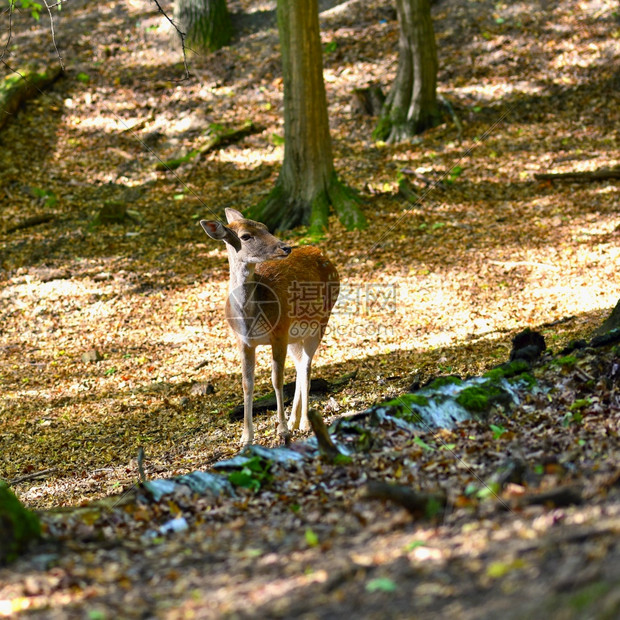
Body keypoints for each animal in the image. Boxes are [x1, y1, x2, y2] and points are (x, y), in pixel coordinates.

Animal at [200, 208, 340, 446]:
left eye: (266, 227)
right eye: (246, 236)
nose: (286, 247)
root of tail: (322, 253)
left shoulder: (279, 332)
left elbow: (277, 379)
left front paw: (281, 430)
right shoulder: (243, 341)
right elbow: (247, 383)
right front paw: (246, 437)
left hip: (320, 321)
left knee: (307, 366)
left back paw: (303, 422)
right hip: (295, 335)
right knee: (300, 364)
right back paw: (295, 421)